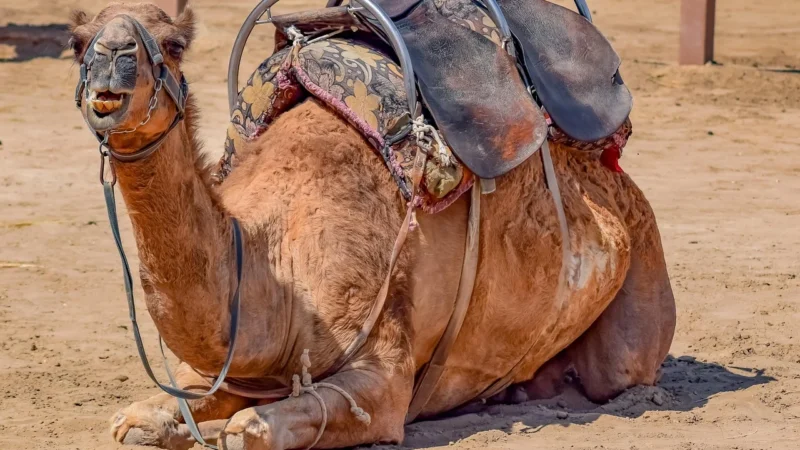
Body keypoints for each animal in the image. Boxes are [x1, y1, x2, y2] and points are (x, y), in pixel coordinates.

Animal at [68, 3, 675, 449]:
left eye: (172, 45)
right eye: (78, 42)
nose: (113, 56)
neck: (273, 254)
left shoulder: (380, 374)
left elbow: (250, 432)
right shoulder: (221, 369)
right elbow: (141, 417)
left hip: (641, 253)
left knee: (620, 368)